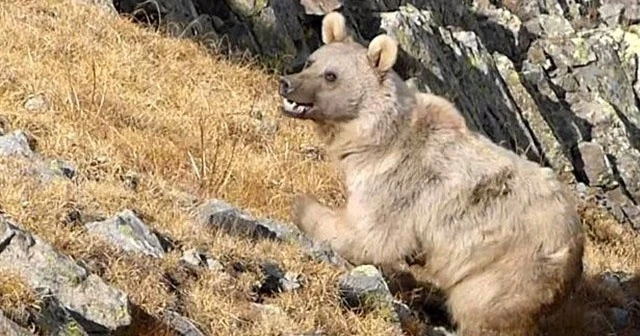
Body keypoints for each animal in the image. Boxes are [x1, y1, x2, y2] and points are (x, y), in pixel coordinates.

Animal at [278, 11, 584, 336]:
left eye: (331, 76)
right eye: (311, 61)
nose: (286, 83)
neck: (375, 137)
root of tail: (576, 247)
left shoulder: (398, 182)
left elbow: (371, 235)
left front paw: (303, 206)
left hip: (509, 266)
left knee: (484, 305)